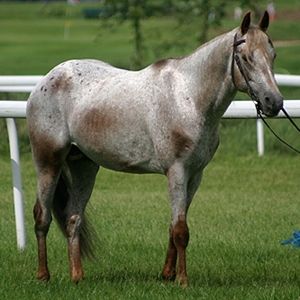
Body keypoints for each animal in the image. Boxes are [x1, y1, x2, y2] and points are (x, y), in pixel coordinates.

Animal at [26, 12, 284, 286]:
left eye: (273, 55)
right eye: (245, 58)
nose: (274, 102)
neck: (188, 98)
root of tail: (47, 80)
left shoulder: (194, 176)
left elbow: (174, 226)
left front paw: (168, 274)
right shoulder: (177, 171)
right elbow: (181, 231)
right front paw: (183, 281)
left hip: (84, 167)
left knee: (73, 218)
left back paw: (77, 277)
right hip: (48, 163)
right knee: (42, 216)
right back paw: (43, 275)